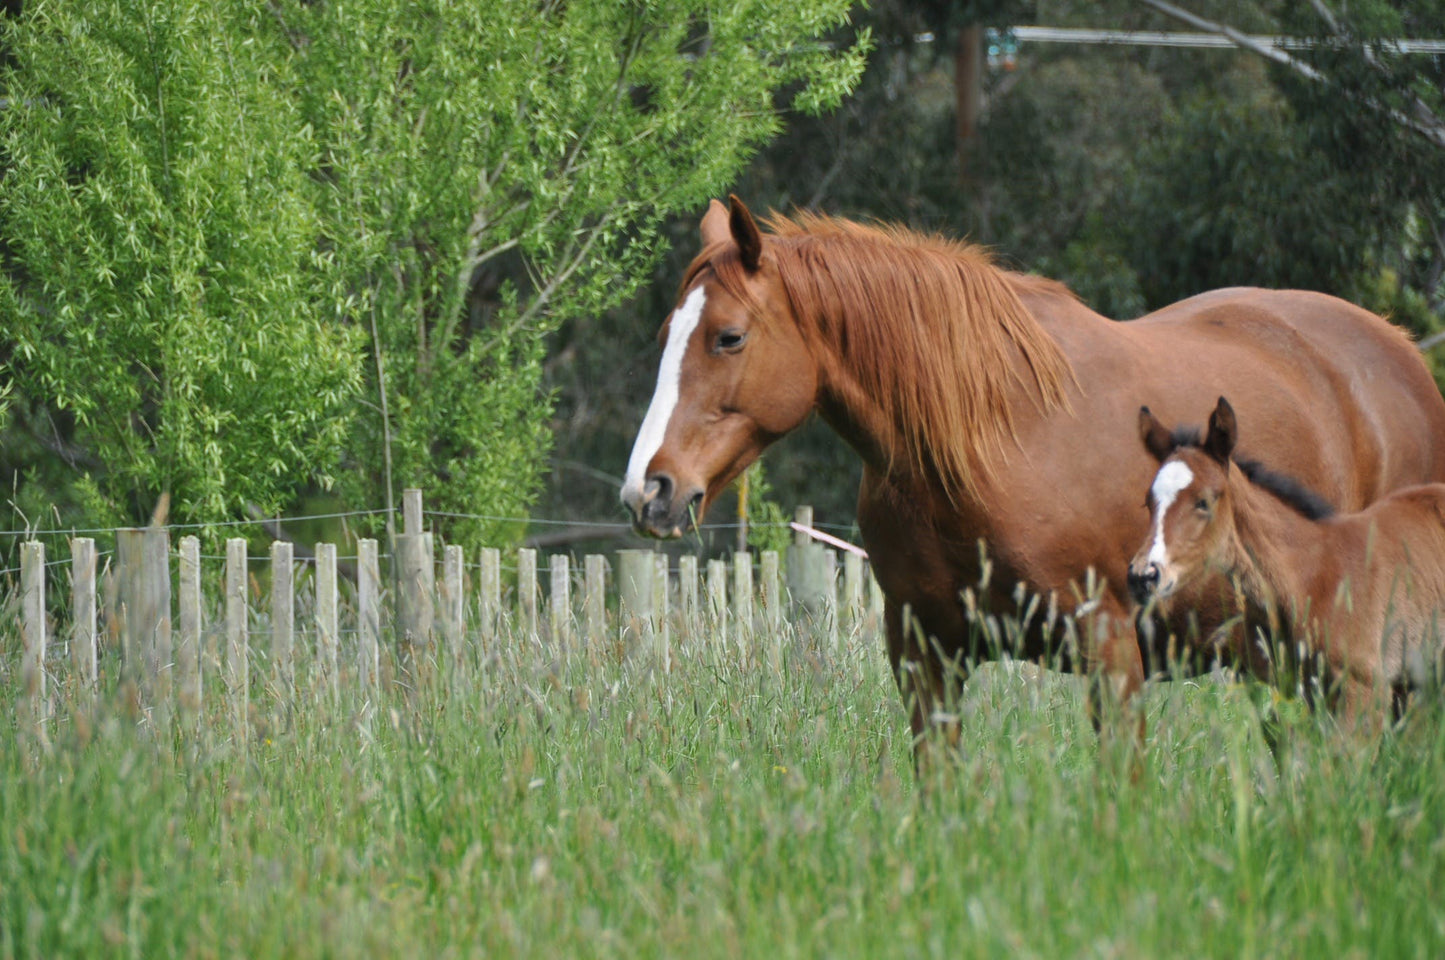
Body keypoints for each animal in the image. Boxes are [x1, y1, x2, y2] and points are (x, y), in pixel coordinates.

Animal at [1128, 398, 1445, 728]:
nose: (1143, 575)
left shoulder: (1365, 691)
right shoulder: (1316, 693)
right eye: (1148, 502)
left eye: (1203, 502)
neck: (1314, 576)